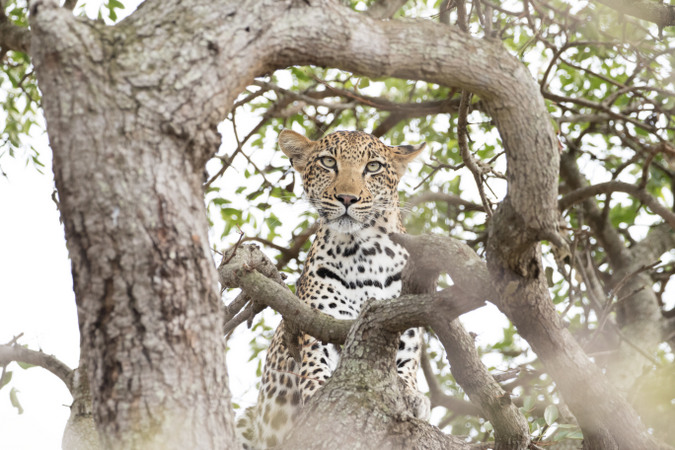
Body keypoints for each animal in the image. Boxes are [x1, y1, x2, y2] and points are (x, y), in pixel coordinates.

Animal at [235, 128, 430, 448]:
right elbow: (315, 367)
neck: (365, 254)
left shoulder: (405, 328)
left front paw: (413, 397)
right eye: (328, 162)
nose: (347, 197)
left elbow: (405, 372)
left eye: (373, 166)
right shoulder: (320, 325)